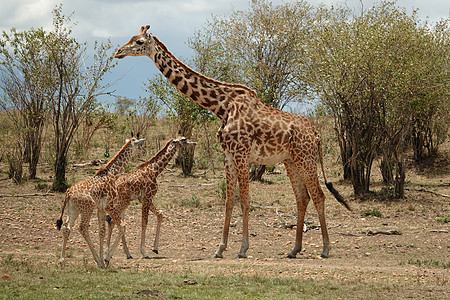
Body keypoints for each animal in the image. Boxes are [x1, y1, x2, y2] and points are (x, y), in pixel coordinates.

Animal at [55, 137, 144, 266]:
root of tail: (68, 193)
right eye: (139, 145)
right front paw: (106, 259)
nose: (144, 151)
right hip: (87, 209)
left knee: (67, 228)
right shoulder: (109, 206)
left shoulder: (101, 209)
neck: (113, 175)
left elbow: (102, 232)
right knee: (82, 228)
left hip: (73, 210)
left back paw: (62, 260)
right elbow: (122, 226)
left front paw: (103, 259)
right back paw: (97, 260)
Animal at [113, 25, 352, 258]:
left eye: (139, 41)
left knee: (319, 195)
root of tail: (316, 134)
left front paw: (243, 249)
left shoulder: (242, 153)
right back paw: (294, 250)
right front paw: (220, 249)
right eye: (130, 37)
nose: (118, 52)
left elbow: (245, 200)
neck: (221, 106)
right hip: (291, 160)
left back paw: (325, 249)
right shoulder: (228, 154)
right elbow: (229, 201)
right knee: (302, 198)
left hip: (306, 158)